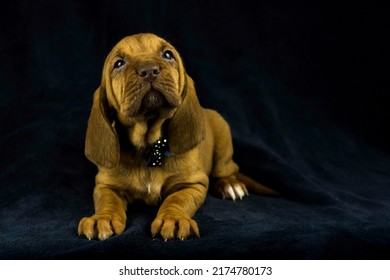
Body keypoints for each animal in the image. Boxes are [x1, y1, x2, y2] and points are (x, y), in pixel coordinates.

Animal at [77, 33, 278, 241]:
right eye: (118, 63)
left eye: (167, 54)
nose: (149, 70)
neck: (151, 148)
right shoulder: (105, 185)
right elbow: (108, 201)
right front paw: (103, 218)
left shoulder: (192, 184)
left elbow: (177, 199)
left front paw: (172, 219)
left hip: (223, 137)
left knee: (227, 170)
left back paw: (230, 184)